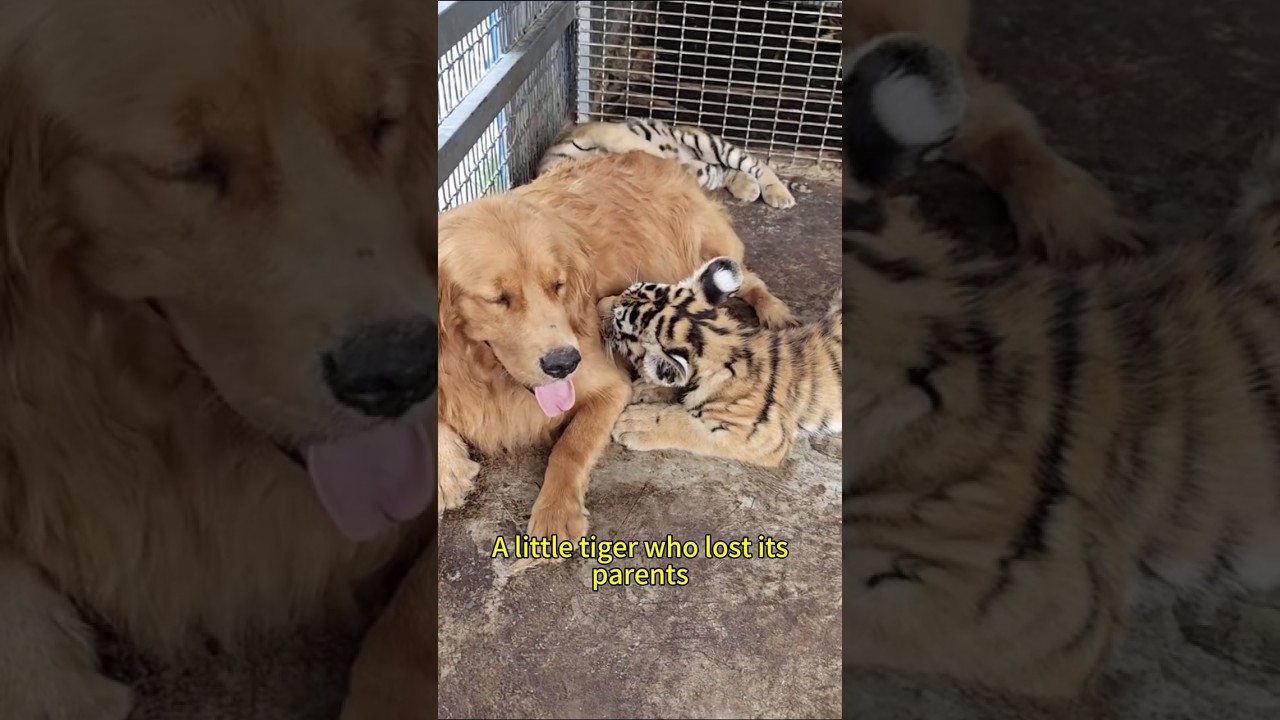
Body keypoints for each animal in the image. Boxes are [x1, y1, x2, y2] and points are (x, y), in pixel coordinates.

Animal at [536, 118, 801, 209]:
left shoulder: (597, 131)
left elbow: (634, 143)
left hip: (702, 141)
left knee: (754, 162)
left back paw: (778, 194)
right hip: (706, 162)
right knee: (723, 171)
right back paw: (747, 188)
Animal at [597, 257, 841, 467]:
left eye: (618, 325)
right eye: (627, 291)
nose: (597, 304)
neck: (726, 341)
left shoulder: (764, 436)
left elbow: (683, 423)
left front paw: (637, 423)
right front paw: (648, 387)